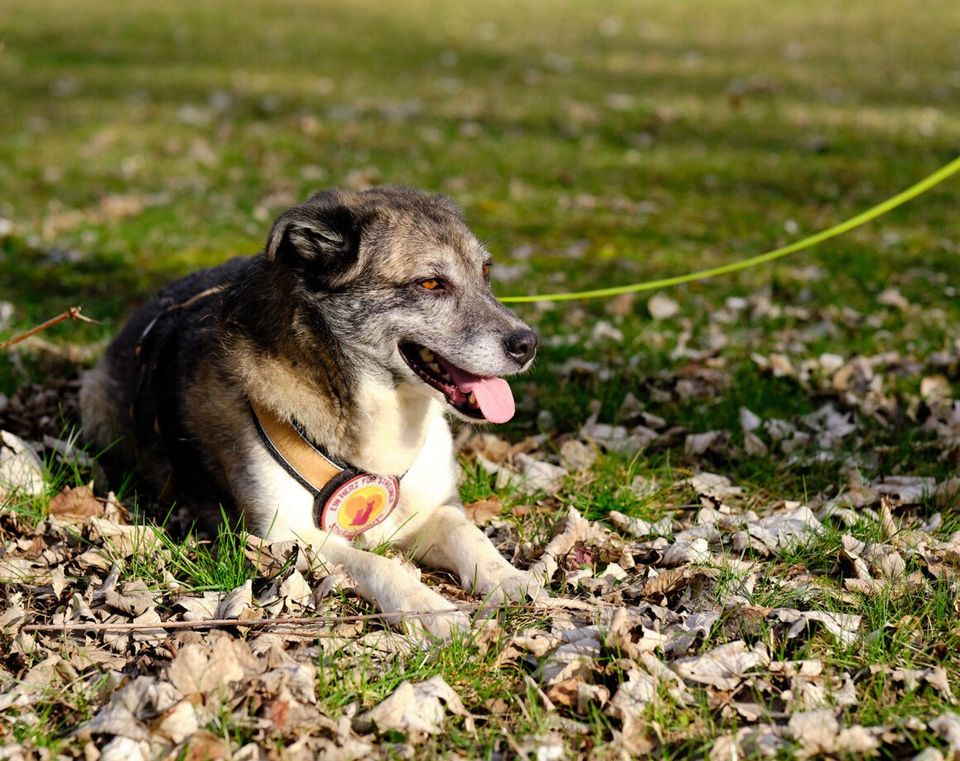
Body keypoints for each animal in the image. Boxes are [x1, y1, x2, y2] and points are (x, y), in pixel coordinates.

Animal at [80, 186, 548, 636]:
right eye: (431, 283)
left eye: (485, 271)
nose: (528, 344)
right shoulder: (286, 537)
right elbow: (378, 563)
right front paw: (429, 608)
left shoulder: (432, 509)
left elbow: (468, 534)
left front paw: (511, 578)